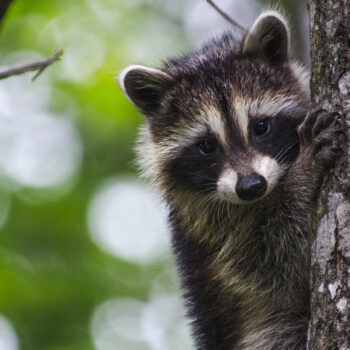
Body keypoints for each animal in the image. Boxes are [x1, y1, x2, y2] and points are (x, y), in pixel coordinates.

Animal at [119, 10, 344, 350]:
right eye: (206, 146)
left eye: (261, 127)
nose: (251, 187)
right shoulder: (214, 230)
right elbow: (277, 265)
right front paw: (302, 173)